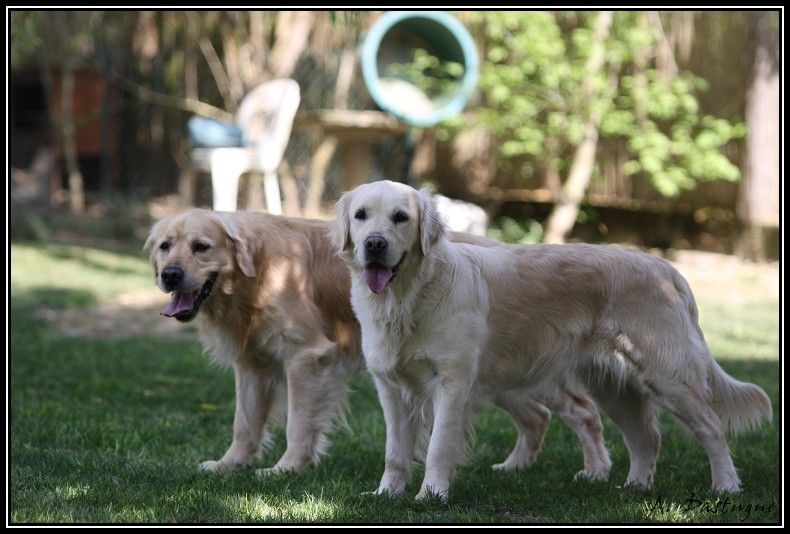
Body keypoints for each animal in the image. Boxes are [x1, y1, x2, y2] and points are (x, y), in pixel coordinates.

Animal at [144, 208, 612, 478]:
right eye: (166, 246)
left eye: (202, 247)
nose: (168, 275)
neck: (255, 273)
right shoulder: (252, 364)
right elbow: (244, 424)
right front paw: (230, 465)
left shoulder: (307, 358)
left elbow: (298, 424)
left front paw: (288, 468)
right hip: (497, 376)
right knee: (537, 416)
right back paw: (515, 467)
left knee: (584, 411)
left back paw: (594, 471)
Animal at [332, 181, 772, 502]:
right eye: (361, 215)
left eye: (401, 217)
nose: (374, 243)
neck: (406, 300)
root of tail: (665, 267)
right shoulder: (390, 388)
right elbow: (394, 452)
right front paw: (386, 494)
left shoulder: (452, 385)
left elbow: (439, 446)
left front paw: (431, 497)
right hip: (613, 386)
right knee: (646, 436)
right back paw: (633, 487)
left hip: (667, 376)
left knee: (711, 428)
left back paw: (726, 487)